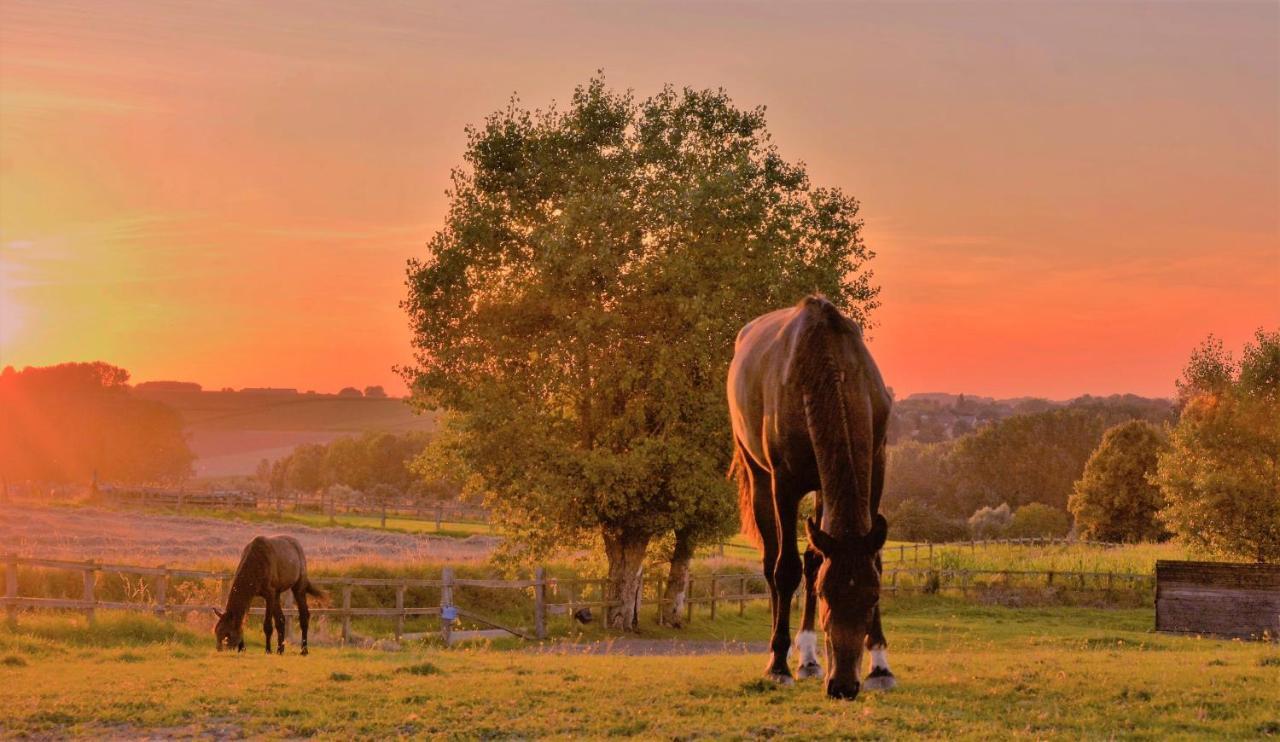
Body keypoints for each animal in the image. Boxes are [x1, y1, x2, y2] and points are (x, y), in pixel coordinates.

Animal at [727, 295, 896, 701]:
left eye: (871, 597)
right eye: (824, 596)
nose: (843, 686)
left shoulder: (876, 468)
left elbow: (869, 558)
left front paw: (880, 665)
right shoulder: (785, 485)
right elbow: (785, 569)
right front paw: (778, 666)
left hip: (823, 488)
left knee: (813, 556)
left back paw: (808, 659)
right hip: (759, 477)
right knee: (772, 563)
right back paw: (783, 656)